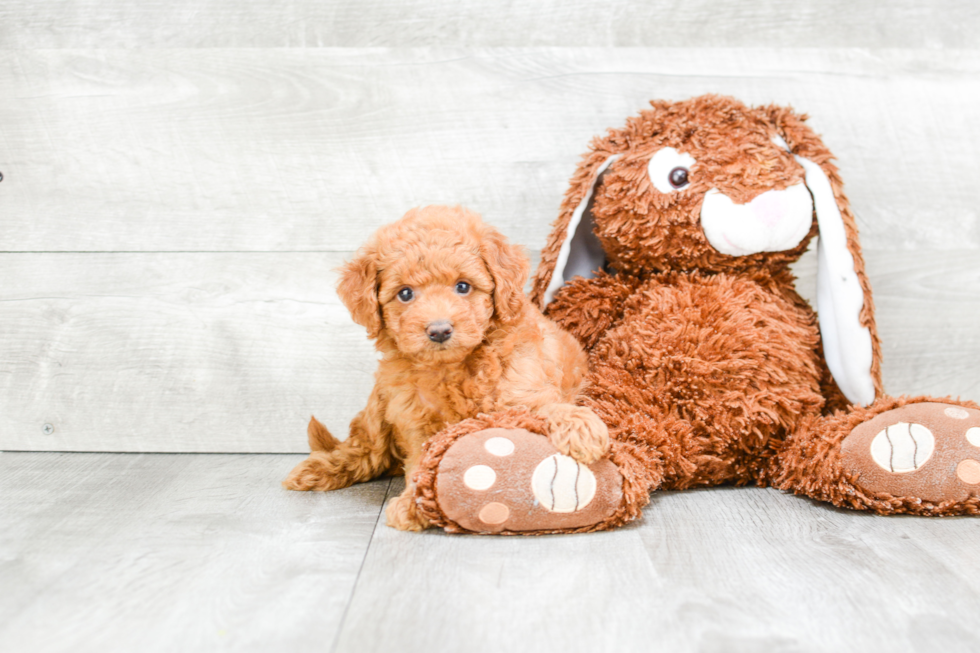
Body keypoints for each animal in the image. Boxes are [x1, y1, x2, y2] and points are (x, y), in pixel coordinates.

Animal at [280, 205, 608, 528]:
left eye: (463, 286)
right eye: (405, 293)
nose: (439, 330)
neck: (453, 368)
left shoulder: (523, 388)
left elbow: (548, 408)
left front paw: (581, 428)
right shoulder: (415, 419)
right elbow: (422, 462)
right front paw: (415, 502)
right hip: (377, 406)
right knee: (366, 450)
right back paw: (319, 469)